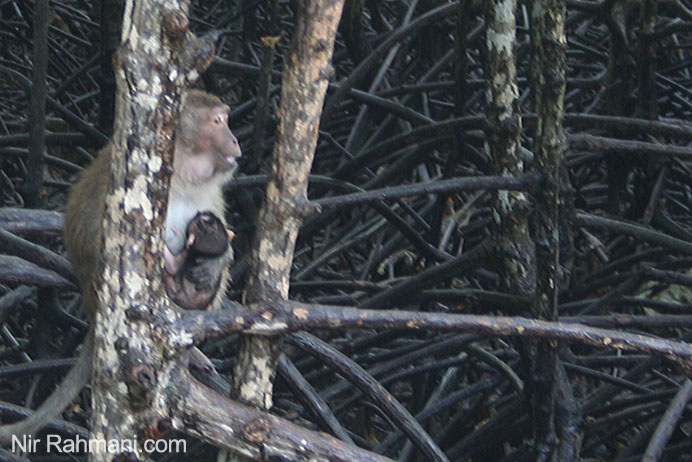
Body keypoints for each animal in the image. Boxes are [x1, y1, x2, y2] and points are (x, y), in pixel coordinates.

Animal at [0, 90, 241, 443]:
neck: (183, 173)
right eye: (218, 121)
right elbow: (95, 237)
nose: (235, 139)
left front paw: (211, 262)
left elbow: (224, 245)